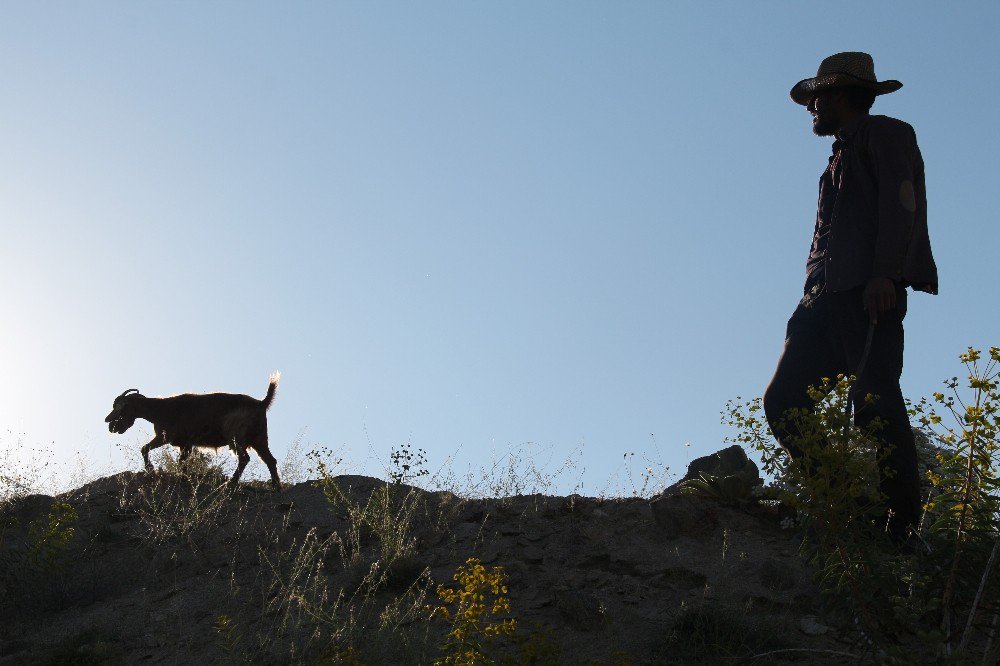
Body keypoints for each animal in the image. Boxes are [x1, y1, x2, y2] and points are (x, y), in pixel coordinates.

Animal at [106, 374, 282, 488]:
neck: (159, 410)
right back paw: (276, 486)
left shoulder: (164, 437)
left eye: (121, 408)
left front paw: (151, 469)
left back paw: (230, 483)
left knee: (245, 458)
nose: (110, 425)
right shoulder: (185, 444)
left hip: (236, 437)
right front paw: (183, 478)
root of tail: (261, 403)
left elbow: (144, 448)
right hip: (259, 439)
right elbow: (182, 461)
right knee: (270, 460)